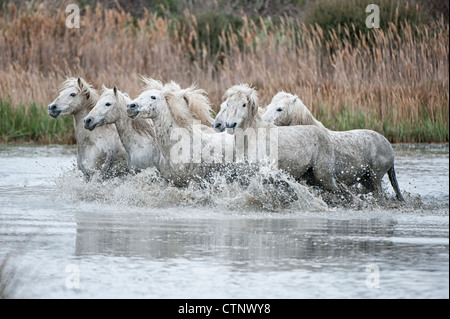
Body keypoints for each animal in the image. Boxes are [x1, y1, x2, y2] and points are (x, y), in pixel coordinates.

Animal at [260, 92, 404, 201]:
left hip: (375, 178)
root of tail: (388, 146)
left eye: (280, 109)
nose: (263, 122)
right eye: (267, 107)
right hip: (366, 179)